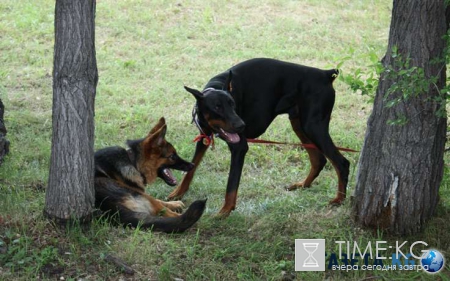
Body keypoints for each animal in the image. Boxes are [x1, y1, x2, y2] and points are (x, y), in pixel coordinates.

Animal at [169, 58, 348, 217]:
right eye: (217, 107)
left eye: (233, 104)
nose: (242, 126)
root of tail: (325, 74)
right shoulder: (204, 137)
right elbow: (191, 169)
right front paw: (177, 194)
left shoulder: (239, 147)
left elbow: (231, 184)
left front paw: (224, 212)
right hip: (299, 123)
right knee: (319, 159)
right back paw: (303, 185)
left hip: (313, 126)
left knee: (342, 162)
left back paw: (339, 199)